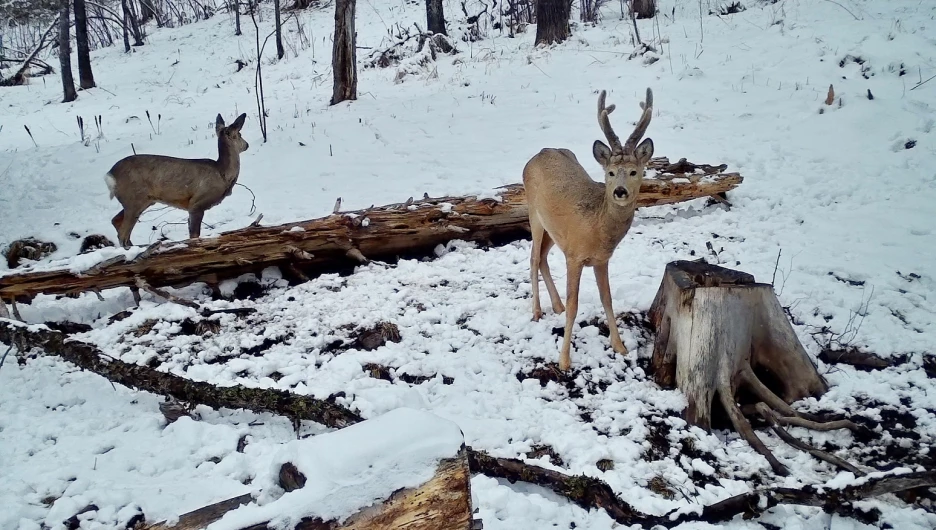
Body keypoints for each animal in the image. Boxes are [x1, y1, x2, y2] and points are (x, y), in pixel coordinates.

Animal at [105, 112, 249, 248]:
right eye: (240, 134)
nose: (247, 145)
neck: (222, 174)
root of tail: (110, 175)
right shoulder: (197, 203)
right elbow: (194, 234)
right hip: (134, 198)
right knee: (122, 233)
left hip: (141, 200)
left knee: (115, 221)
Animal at [524, 88, 656, 370]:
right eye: (610, 172)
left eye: (633, 171)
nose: (620, 191)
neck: (596, 228)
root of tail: (540, 152)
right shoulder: (574, 256)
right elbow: (575, 304)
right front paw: (564, 360)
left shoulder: (601, 259)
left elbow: (607, 298)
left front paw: (620, 346)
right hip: (533, 214)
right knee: (532, 258)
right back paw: (537, 311)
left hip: (553, 231)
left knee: (542, 257)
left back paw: (556, 306)